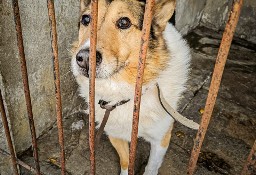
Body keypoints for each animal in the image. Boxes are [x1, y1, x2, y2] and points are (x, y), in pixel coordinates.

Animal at [71, 0, 195, 174]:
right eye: (86, 19)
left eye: (124, 22)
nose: (84, 58)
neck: (123, 92)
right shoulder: (115, 133)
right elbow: (125, 161)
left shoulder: (161, 139)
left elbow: (151, 167)